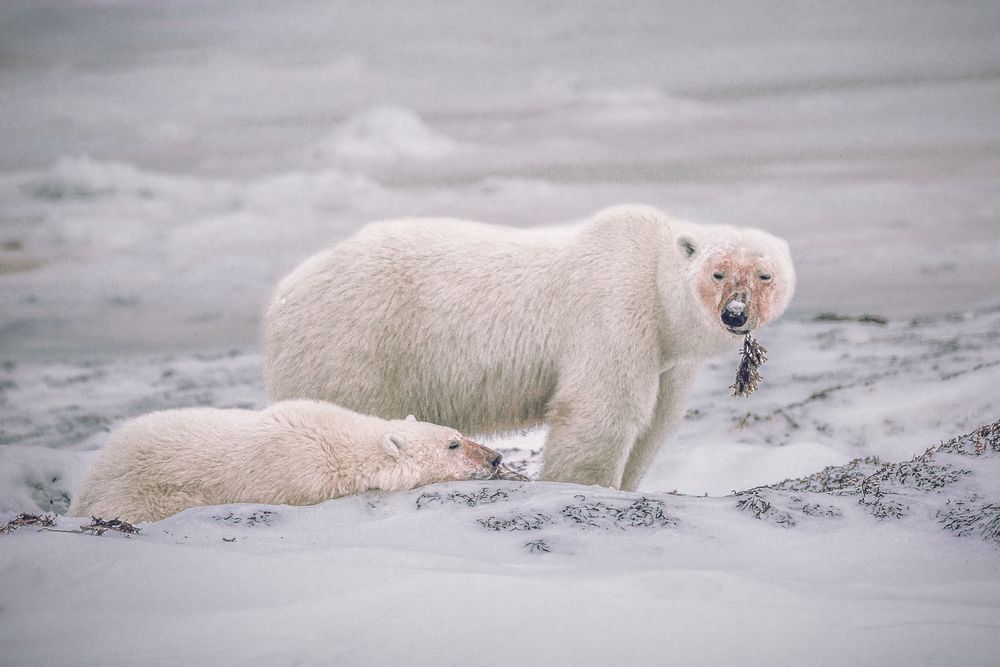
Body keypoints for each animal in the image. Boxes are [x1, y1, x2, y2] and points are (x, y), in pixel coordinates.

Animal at [263, 204, 795, 491]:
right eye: (718, 272)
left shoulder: (667, 358)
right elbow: (602, 412)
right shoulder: (614, 312)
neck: (653, 281)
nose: (735, 315)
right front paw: (585, 486)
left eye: (764, 274)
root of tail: (283, 292)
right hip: (357, 341)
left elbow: (655, 423)